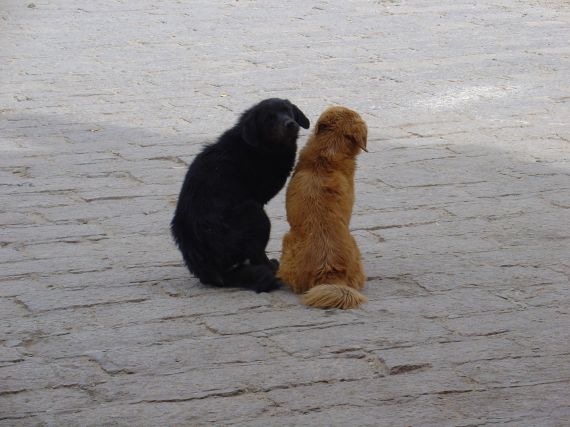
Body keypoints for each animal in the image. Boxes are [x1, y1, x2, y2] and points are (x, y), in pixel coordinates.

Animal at [171, 100, 308, 292]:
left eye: (288, 111)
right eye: (269, 118)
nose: (291, 124)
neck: (253, 146)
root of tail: (210, 272)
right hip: (254, 212)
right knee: (256, 252)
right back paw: (271, 268)